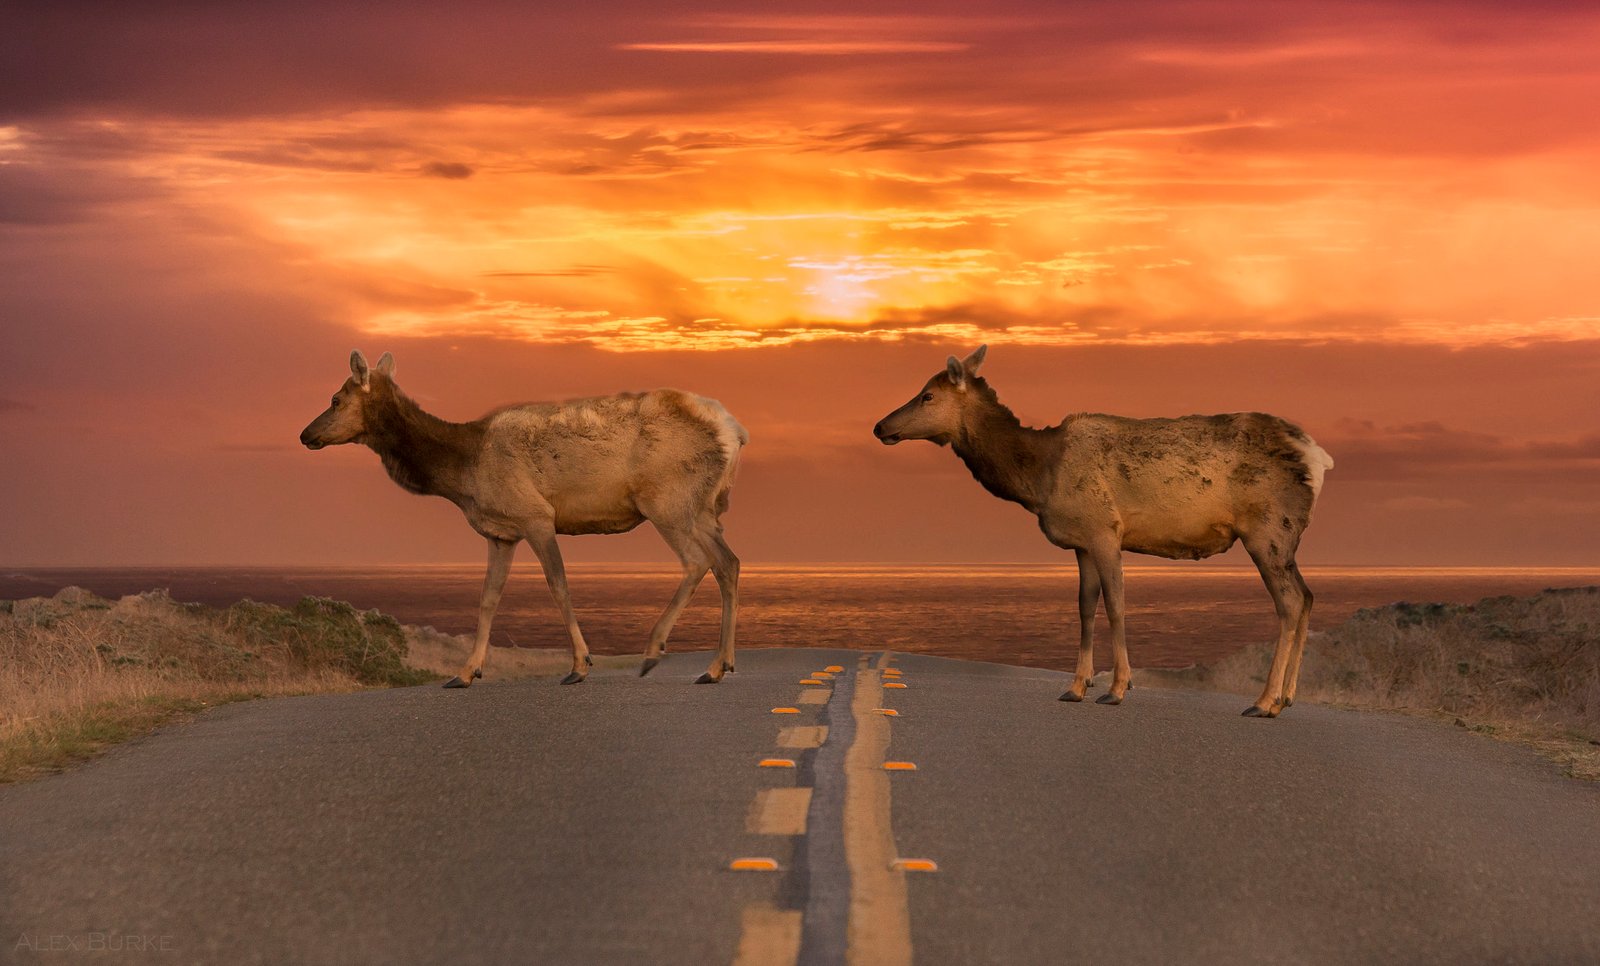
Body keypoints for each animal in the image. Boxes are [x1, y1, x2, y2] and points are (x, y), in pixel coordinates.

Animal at [299, 351, 747, 687]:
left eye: (335, 399)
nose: (306, 435)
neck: (463, 471)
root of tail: (734, 432)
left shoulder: (536, 516)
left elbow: (558, 585)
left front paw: (579, 666)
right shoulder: (501, 533)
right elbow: (488, 598)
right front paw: (465, 673)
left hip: (665, 501)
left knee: (698, 561)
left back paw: (655, 652)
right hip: (703, 509)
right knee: (729, 562)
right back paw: (718, 666)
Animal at [873, 345, 1333, 717]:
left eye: (927, 394)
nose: (880, 426)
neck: (1038, 478)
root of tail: (1316, 456)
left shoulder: (1105, 530)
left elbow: (1116, 606)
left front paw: (1116, 688)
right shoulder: (1081, 544)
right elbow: (1084, 608)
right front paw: (1076, 686)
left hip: (1268, 529)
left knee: (1290, 602)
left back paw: (1264, 701)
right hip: (1283, 539)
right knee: (1308, 596)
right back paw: (1287, 697)